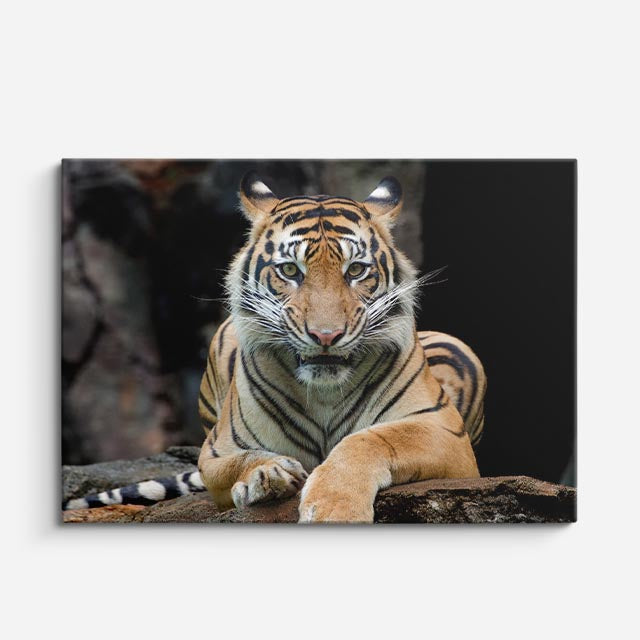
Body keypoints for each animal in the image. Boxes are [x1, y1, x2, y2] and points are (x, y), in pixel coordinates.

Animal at [62, 172, 486, 520]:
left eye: (355, 270)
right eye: (290, 271)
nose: (326, 335)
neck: (324, 391)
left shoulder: (444, 432)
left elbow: (370, 440)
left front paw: (334, 508)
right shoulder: (216, 451)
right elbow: (245, 459)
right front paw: (268, 474)